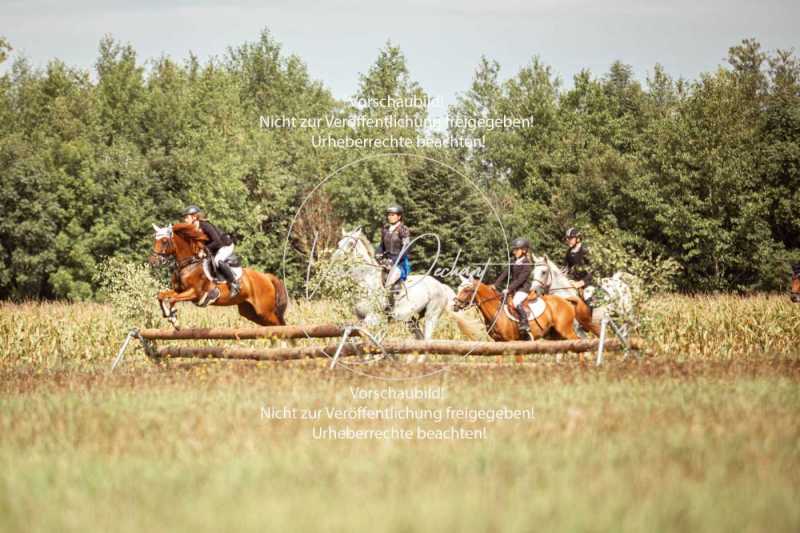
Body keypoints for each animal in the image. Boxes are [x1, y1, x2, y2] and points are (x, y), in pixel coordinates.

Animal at [148, 221, 290, 328]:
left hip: (264, 311)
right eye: (155, 240)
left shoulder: (194, 293)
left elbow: (172, 299)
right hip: (251, 313)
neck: (189, 264)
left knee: (280, 325)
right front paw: (168, 314)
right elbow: (161, 296)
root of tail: (266, 277)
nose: (153, 261)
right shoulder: (179, 291)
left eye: (164, 241)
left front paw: (174, 319)